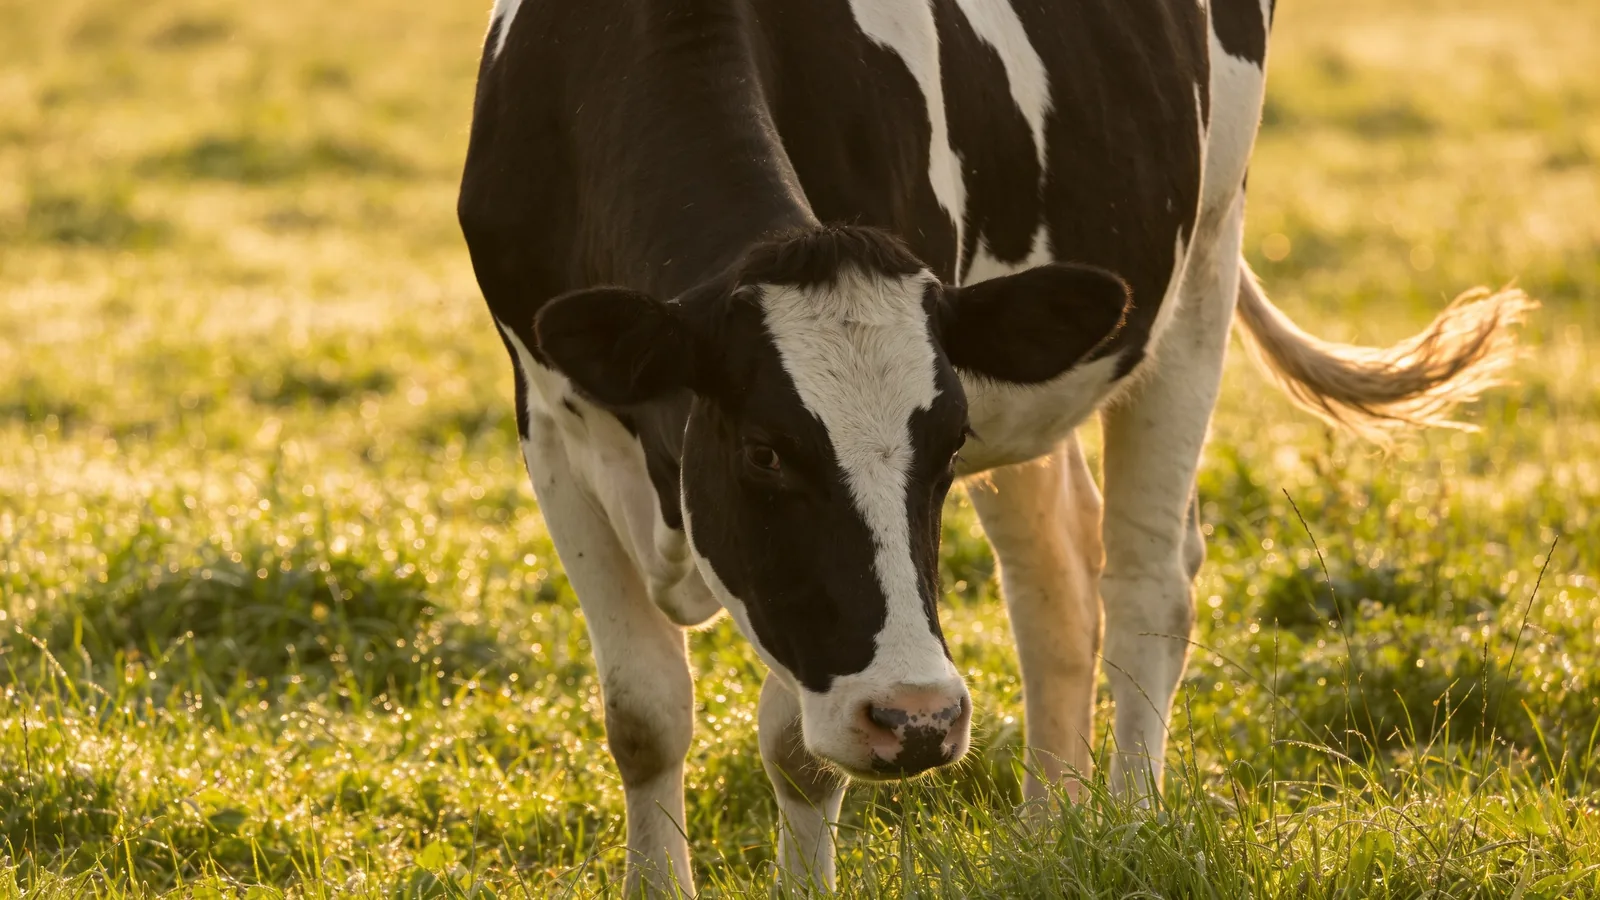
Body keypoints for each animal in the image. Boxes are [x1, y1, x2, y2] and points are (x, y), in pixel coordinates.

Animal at [456, 0, 1530, 894]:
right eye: (764, 450)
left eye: (946, 442)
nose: (919, 720)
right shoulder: (547, 417)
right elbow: (644, 716)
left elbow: (797, 751)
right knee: (1054, 581)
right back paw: (1053, 832)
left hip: (1204, 258)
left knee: (1146, 581)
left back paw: (1128, 826)